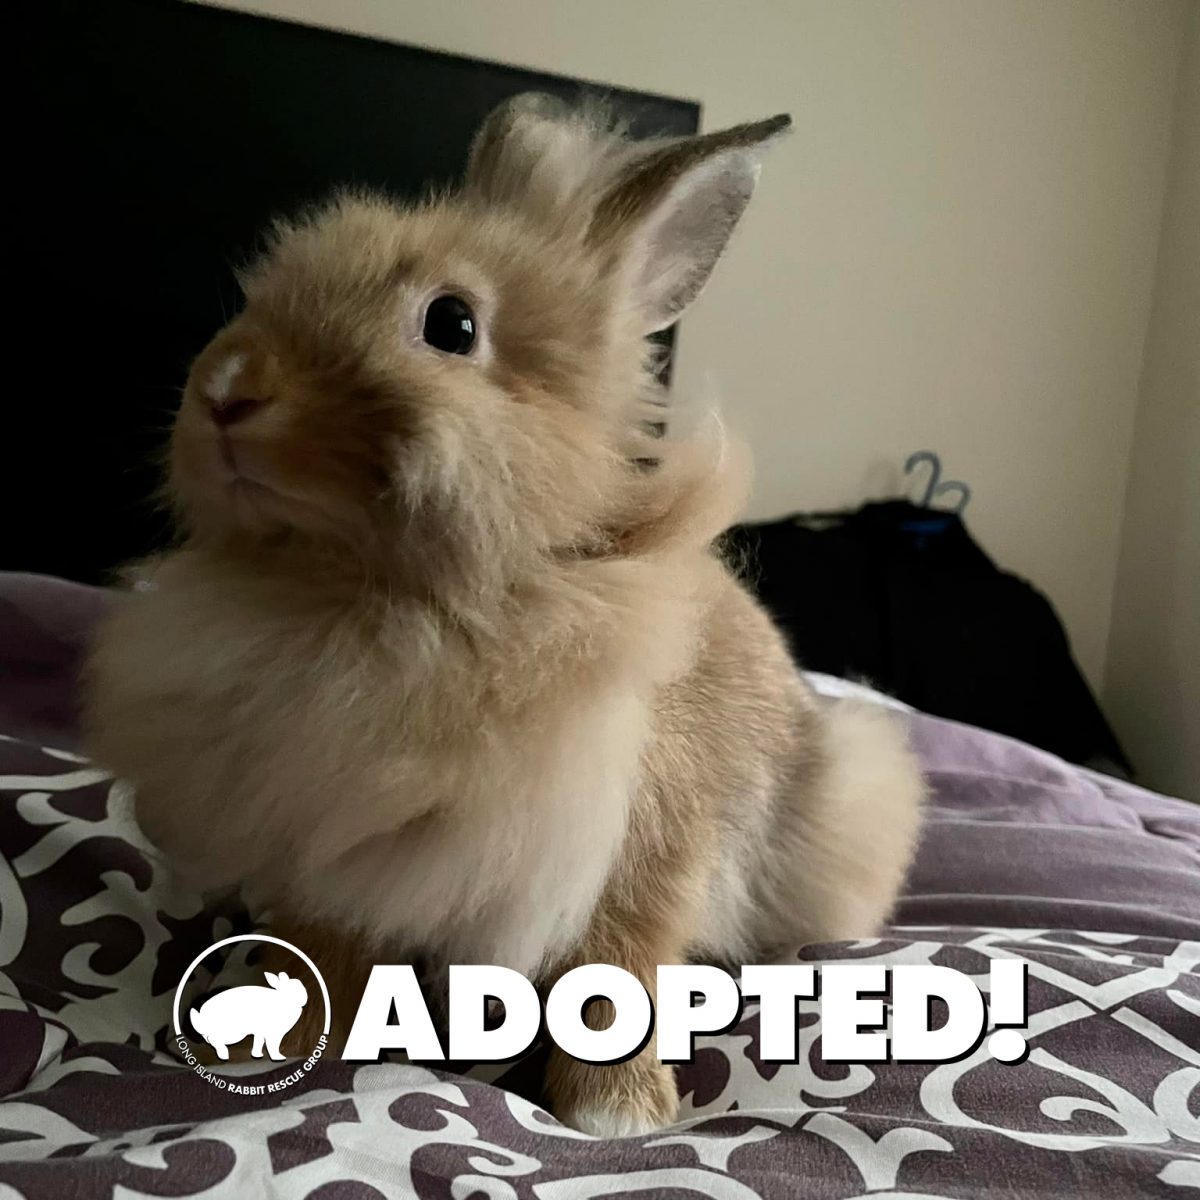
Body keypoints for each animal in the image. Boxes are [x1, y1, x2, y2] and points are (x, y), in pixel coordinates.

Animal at [84, 94, 924, 1137]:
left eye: (451, 324)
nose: (228, 391)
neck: (397, 606)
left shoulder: (645, 852)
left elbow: (620, 975)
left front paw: (618, 1115)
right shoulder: (338, 849)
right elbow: (325, 951)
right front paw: (278, 1045)